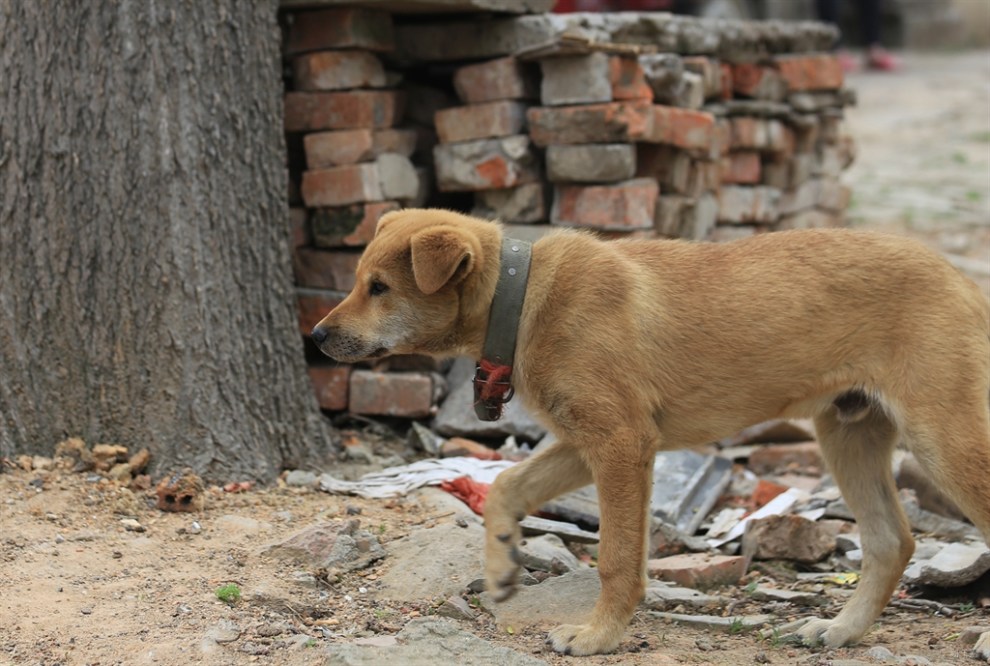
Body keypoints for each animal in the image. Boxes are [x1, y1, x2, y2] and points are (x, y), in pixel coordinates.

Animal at [312, 210, 990, 656]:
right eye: (360, 281)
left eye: (379, 288)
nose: (316, 338)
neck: (523, 297)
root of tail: (962, 279)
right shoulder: (586, 441)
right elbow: (505, 486)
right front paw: (503, 562)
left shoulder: (620, 443)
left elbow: (615, 558)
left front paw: (598, 636)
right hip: (849, 432)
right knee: (890, 540)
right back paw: (842, 630)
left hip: (944, 439)